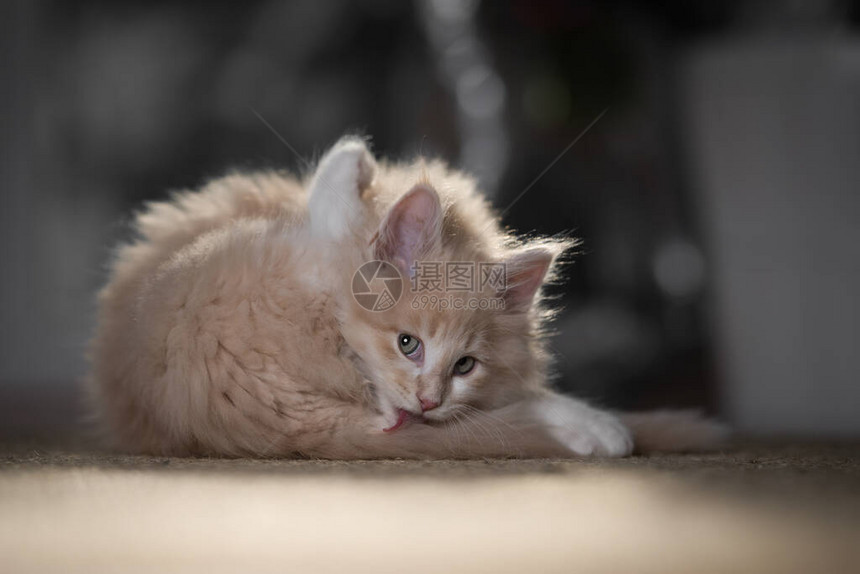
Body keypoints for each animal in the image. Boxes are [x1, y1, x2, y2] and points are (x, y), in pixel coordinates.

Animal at [87, 135, 724, 460]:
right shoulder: (323, 239)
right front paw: (358, 156)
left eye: (465, 365)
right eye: (408, 344)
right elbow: (335, 189)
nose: (427, 400)